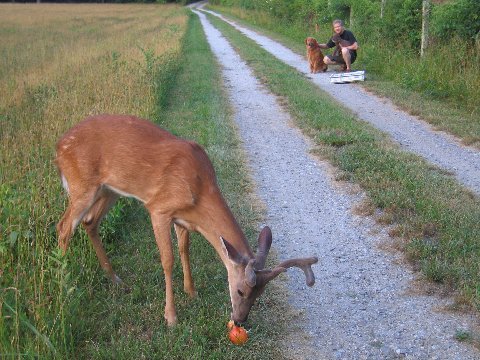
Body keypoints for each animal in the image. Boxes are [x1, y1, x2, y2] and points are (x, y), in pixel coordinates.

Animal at [56, 115, 318, 326]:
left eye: (260, 294)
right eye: (241, 291)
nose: (240, 320)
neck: (201, 190)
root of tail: (58, 146)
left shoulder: (183, 218)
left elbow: (185, 249)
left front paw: (191, 292)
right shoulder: (159, 209)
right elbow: (168, 260)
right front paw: (171, 317)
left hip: (109, 190)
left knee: (90, 223)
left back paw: (115, 279)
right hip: (82, 186)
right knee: (63, 227)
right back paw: (65, 288)